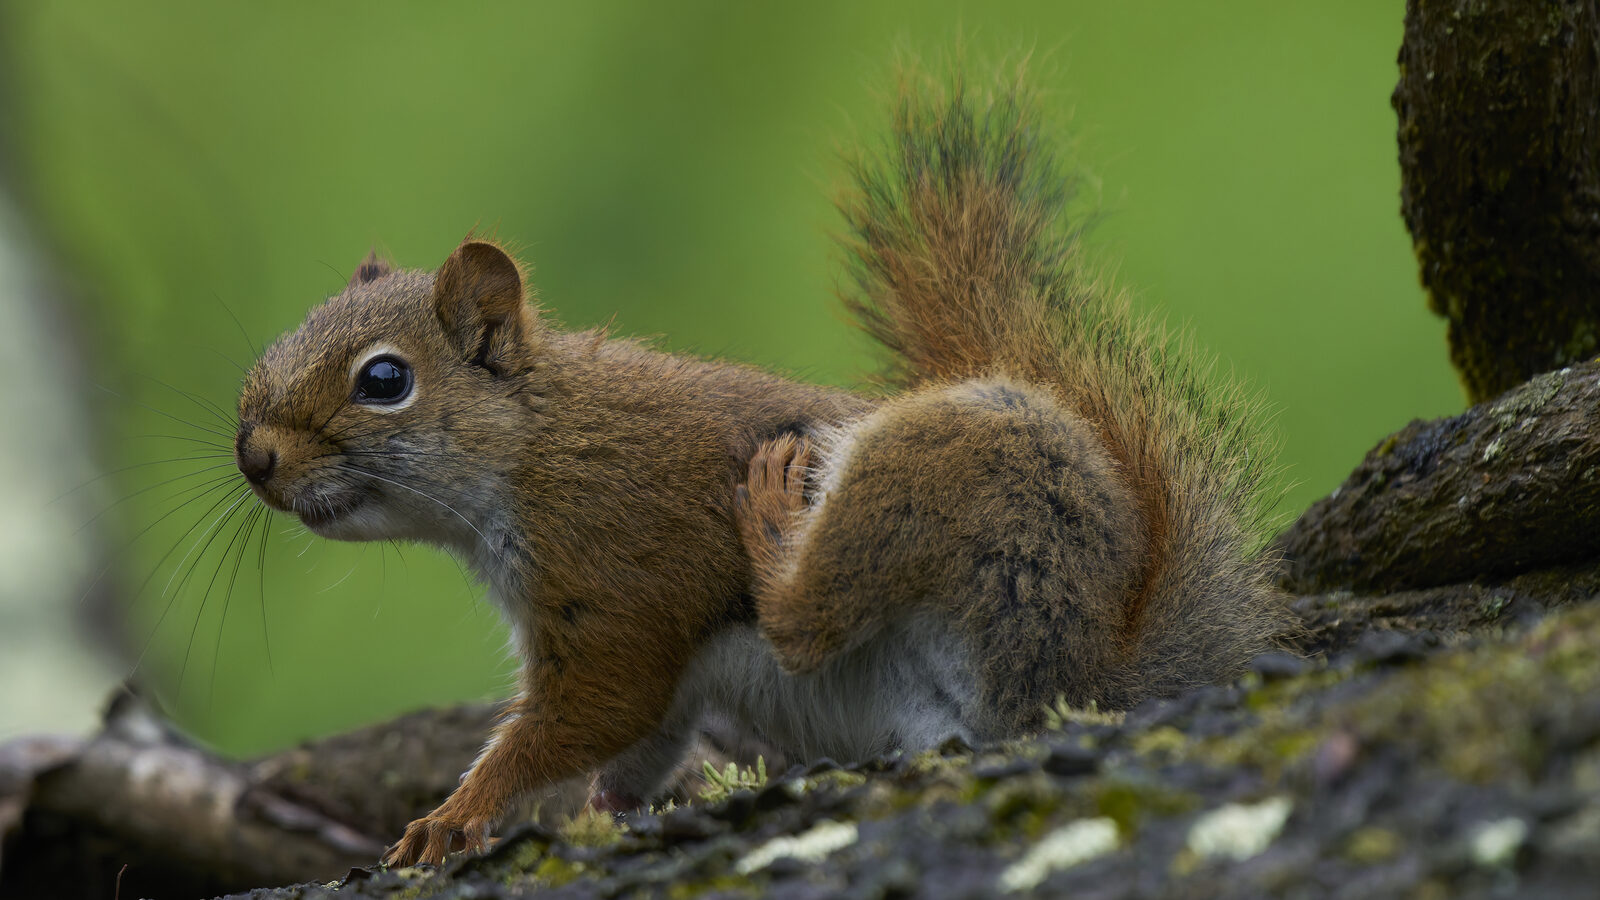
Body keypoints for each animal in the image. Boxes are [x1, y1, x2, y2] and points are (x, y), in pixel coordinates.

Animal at [232, 66, 1286, 867]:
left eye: (384, 379)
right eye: (286, 336)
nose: (253, 456)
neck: (536, 448)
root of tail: (1095, 669)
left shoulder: (613, 574)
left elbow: (594, 708)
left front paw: (452, 819)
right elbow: (643, 740)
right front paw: (590, 814)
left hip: (941, 473)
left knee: (806, 620)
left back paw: (777, 513)